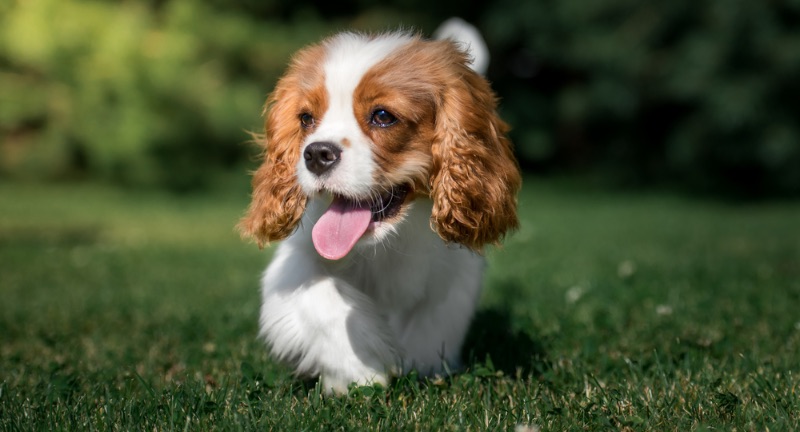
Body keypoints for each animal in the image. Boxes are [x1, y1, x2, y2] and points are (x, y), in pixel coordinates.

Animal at [241, 21, 520, 394]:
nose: (316, 154)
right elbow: (323, 298)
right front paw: (361, 369)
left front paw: (417, 363)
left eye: (383, 116)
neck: (386, 244)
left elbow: (430, 323)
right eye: (306, 118)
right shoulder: (292, 265)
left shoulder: (456, 274)